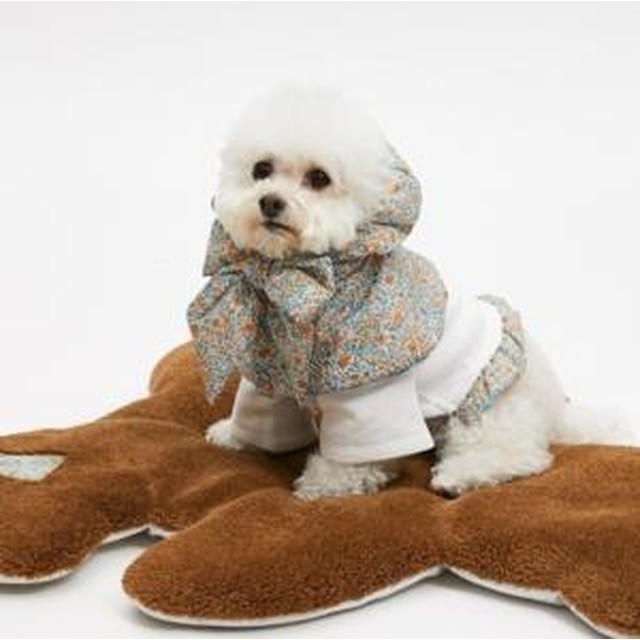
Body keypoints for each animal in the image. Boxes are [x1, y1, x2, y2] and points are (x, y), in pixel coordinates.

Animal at [192, 86, 633, 500]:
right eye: (261, 169)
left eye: (319, 178)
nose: (270, 201)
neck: (307, 275)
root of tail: (556, 406)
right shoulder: (270, 364)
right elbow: (259, 411)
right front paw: (233, 435)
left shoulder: (371, 388)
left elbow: (358, 451)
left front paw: (325, 483)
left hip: (484, 407)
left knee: (517, 454)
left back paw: (459, 476)